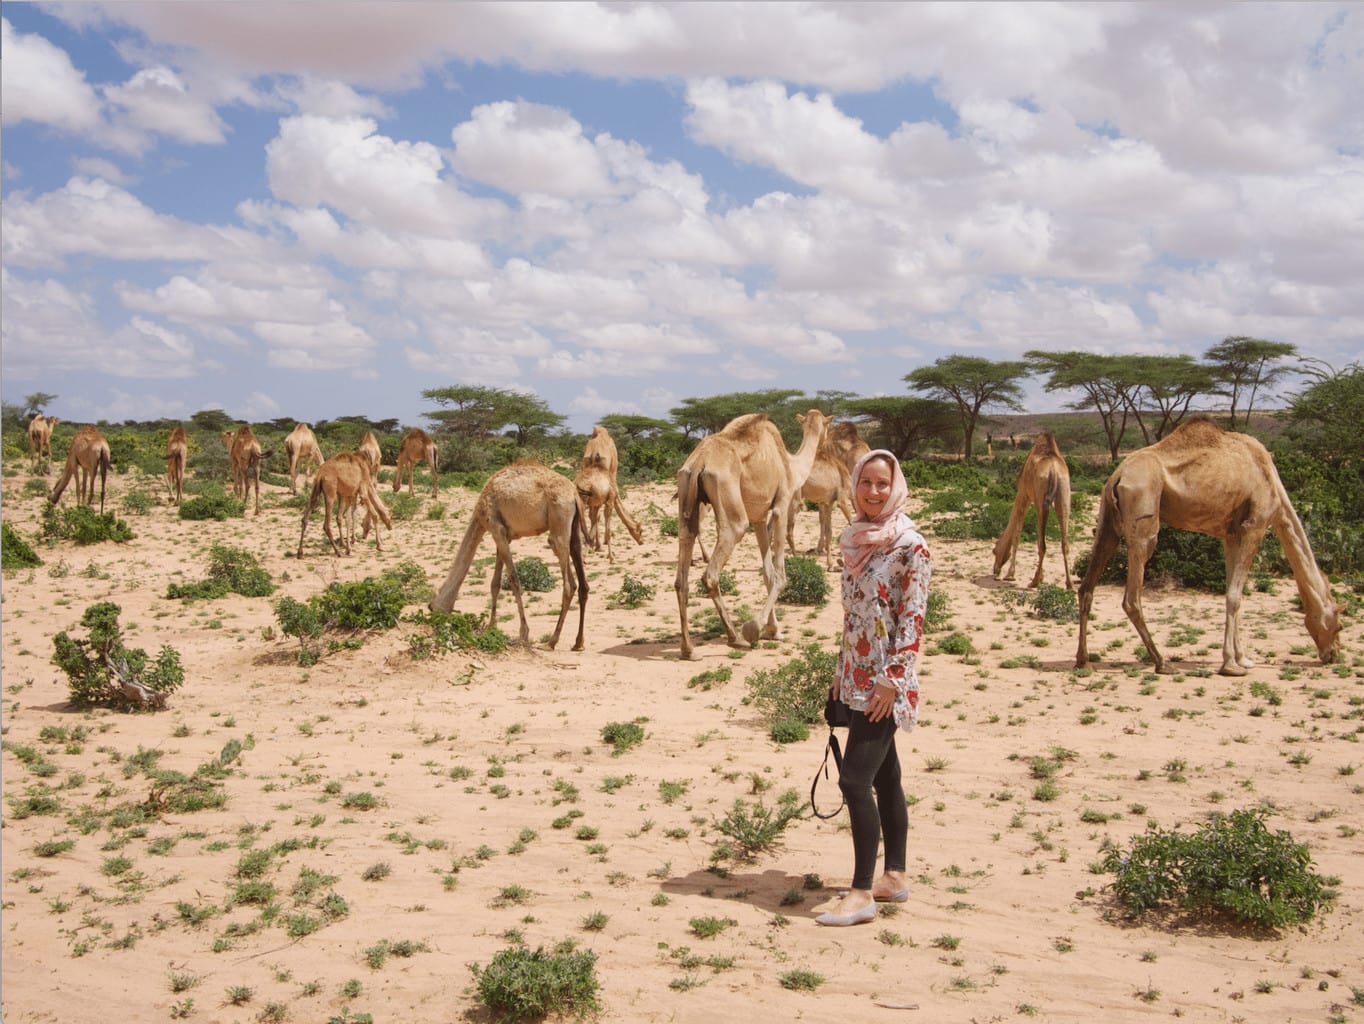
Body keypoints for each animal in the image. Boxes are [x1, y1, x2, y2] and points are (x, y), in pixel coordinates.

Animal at [431, 460, 586, 651]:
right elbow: (495, 583)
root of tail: (574, 494)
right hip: (573, 527)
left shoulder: (496, 529)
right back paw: (578, 643)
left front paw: (523, 634)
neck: (479, 512)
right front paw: (491, 627)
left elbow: (514, 580)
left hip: (558, 526)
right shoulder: (503, 536)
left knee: (569, 585)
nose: (434, 622)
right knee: (581, 580)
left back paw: (551, 642)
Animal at [572, 425, 641, 564]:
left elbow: (594, 517)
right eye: (640, 531)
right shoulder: (609, 498)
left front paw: (594, 546)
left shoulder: (597, 500)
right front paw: (610, 556)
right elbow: (606, 524)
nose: (641, 541)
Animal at [673, 406, 829, 657]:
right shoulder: (781, 504)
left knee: (683, 567)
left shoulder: (759, 517)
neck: (791, 466)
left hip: (686, 491)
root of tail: (698, 463)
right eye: (828, 425)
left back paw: (688, 649)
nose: (827, 442)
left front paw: (774, 630)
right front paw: (756, 628)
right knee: (712, 571)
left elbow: (768, 574)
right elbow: (780, 575)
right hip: (732, 509)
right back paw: (736, 637)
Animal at [998, 430, 1069, 589]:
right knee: (1064, 542)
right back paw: (1070, 585)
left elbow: (1017, 534)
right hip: (1064, 494)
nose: (995, 570)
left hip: (1040, 499)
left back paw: (1034, 581)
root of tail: (1053, 470)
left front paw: (1010, 574)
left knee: (1042, 544)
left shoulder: (1023, 494)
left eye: (995, 550)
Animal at [1074, 419, 1342, 676]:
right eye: (1339, 623)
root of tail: (1118, 475)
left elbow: (1233, 593)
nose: (1333, 655)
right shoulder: (1255, 526)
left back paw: (1084, 661)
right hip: (1143, 517)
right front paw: (1231, 665)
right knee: (1131, 598)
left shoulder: (1232, 534)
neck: (1272, 481)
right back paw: (1162, 663)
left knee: (1087, 587)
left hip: (1108, 520)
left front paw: (1243, 658)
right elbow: (1235, 596)